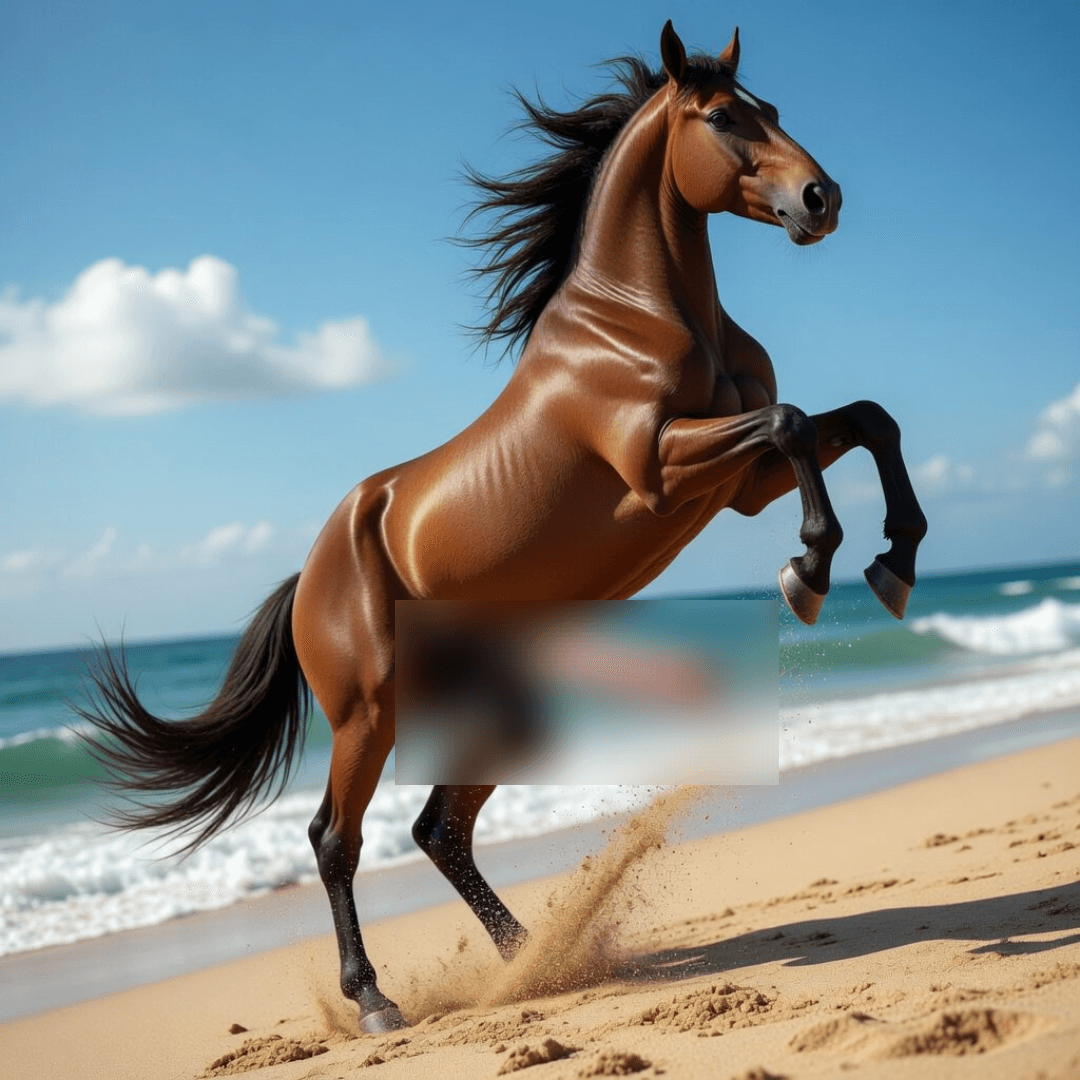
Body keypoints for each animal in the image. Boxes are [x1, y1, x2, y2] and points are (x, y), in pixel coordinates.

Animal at [83, 22, 927, 1034]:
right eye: (725, 118)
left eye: (774, 109)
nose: (820, 198)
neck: (638, 318)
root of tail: (309, 576)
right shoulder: (663, 471)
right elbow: (796, 422)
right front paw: (810, 571)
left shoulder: (741, 485)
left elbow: (867, 418)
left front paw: (894, 561)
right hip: (367, 714)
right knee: (337, 837)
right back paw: (377, 1000)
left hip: (503, 706)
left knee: (436, 827)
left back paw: (531, 961)